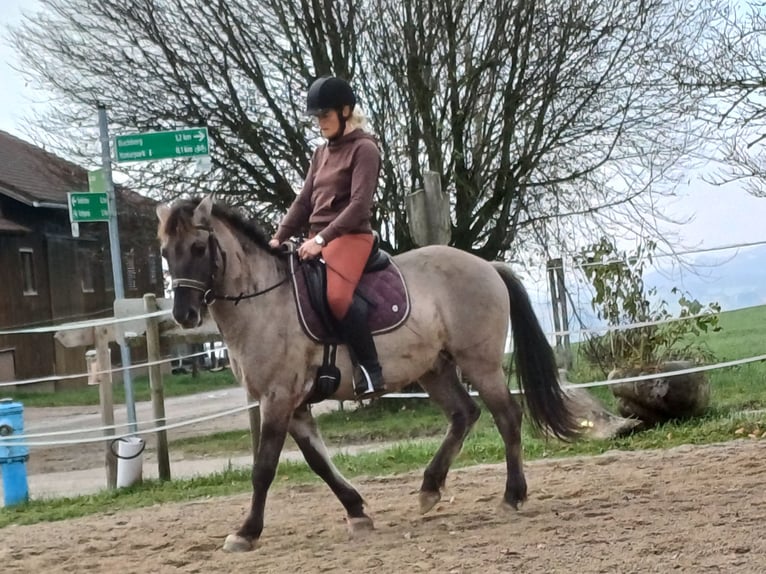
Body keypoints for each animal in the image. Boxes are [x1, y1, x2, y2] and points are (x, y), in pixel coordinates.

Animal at [159, 197, 580, 552]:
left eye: (198, 248)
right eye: (165, 252)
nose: (184, 315)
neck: (265, 300)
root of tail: (486, 265)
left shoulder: (277, 399)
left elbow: (263, 468)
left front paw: (246, 533)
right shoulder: (293, 404)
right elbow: (318, 462)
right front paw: (357, 511)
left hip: (480, 363)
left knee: (507, 416)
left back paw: (512, 496)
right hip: (434, 368)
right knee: (465, 414)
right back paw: (430, 488)